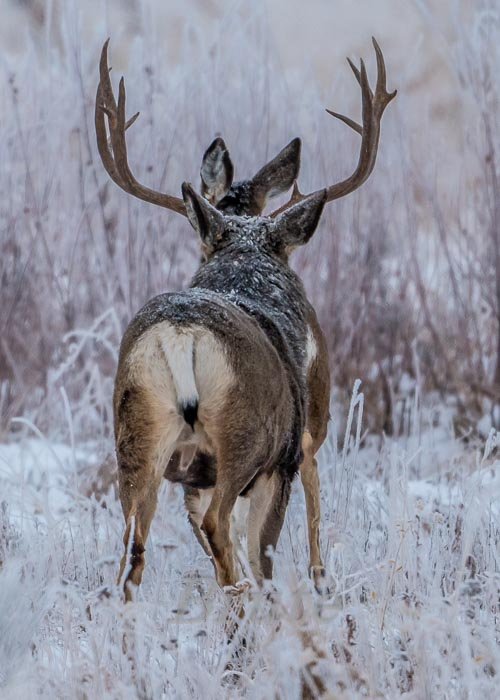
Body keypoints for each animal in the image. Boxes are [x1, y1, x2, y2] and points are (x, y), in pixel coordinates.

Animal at [95, 38, 396, 600]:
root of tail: (182, 334)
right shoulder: (297, 444)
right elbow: (291, 527)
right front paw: (317, 584)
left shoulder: (193, 477)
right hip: (244, 435)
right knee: (226, 529)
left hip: (137, 432)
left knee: (130, 552)